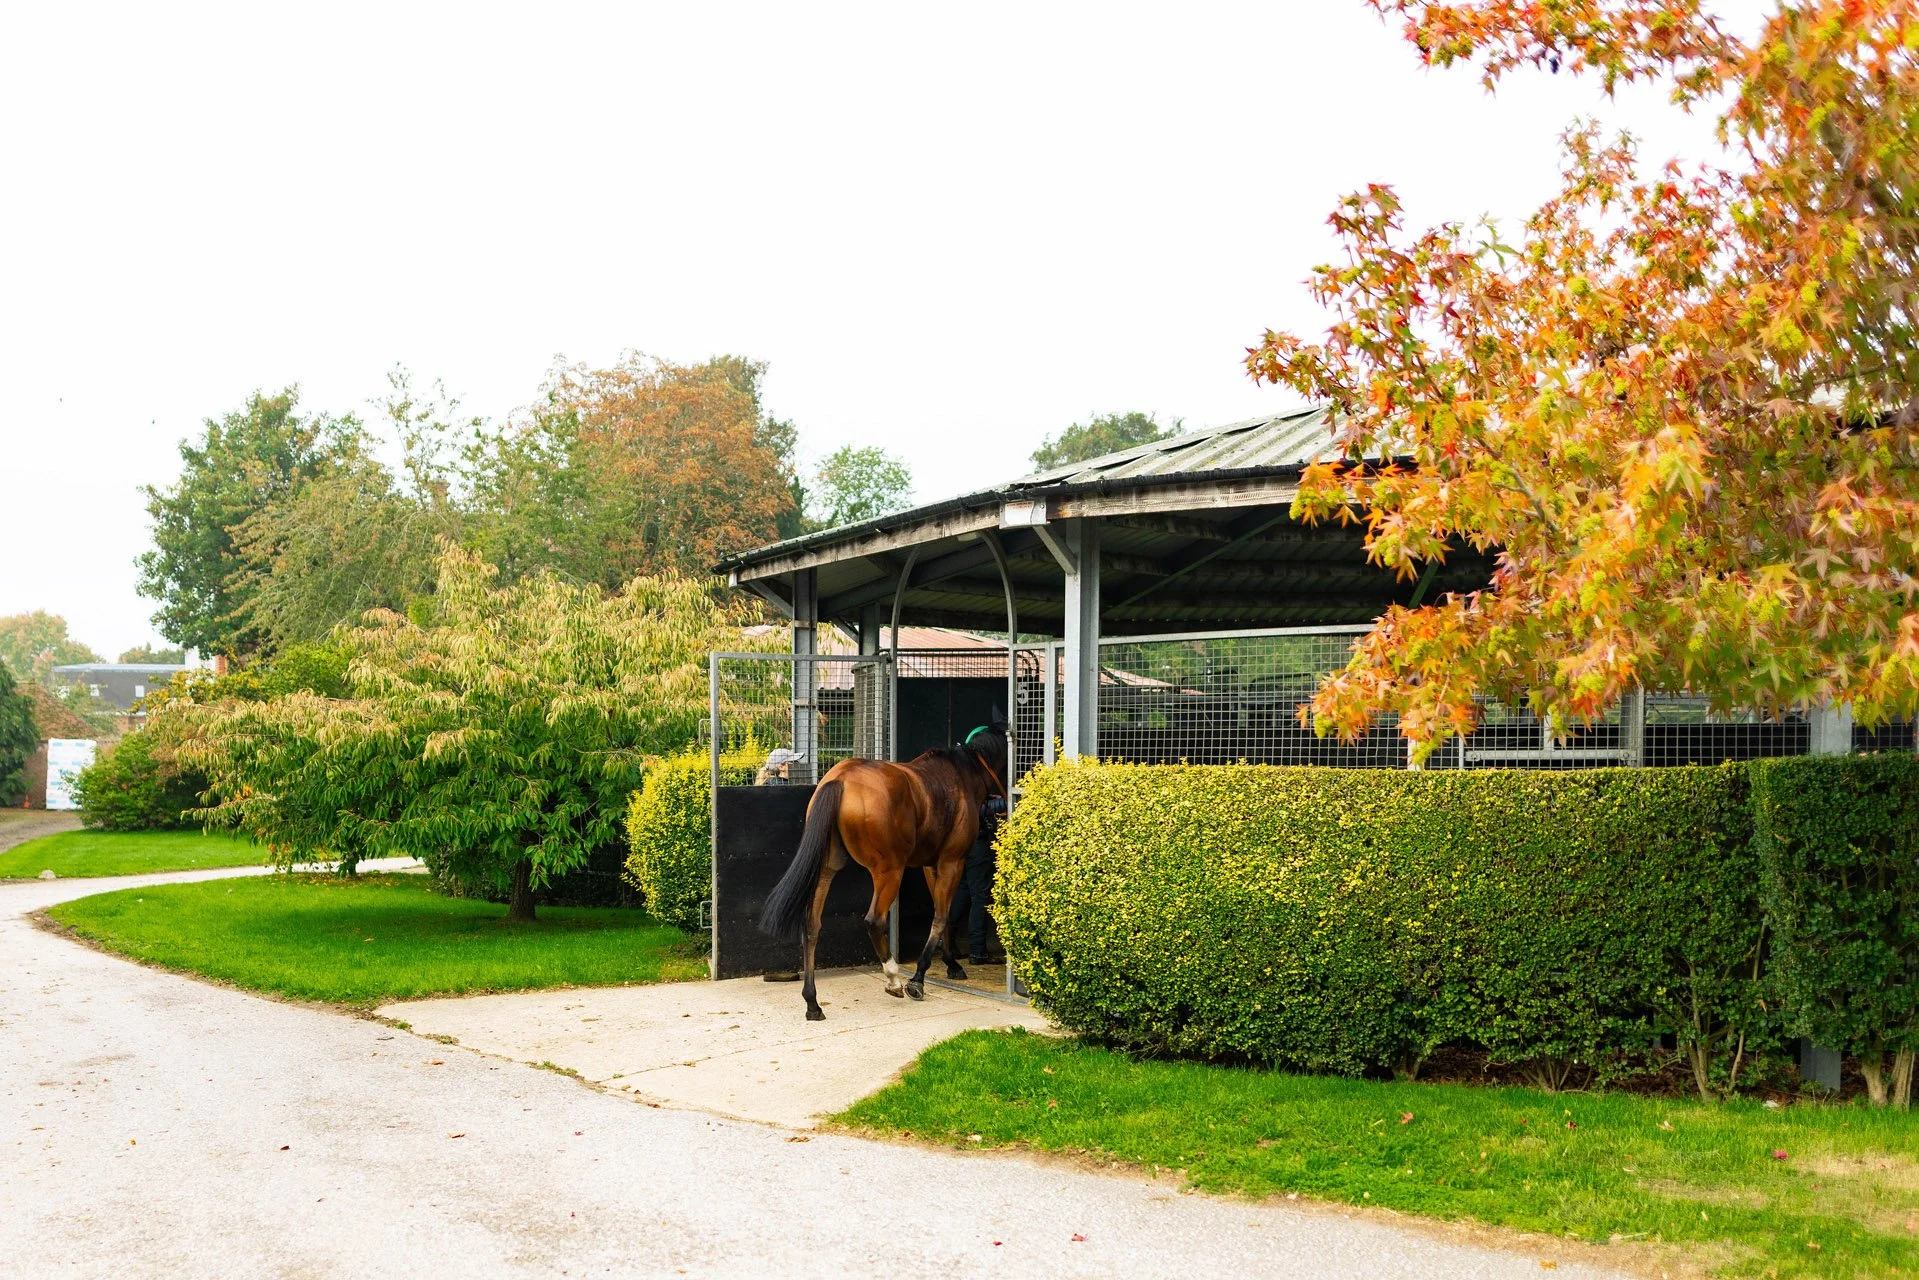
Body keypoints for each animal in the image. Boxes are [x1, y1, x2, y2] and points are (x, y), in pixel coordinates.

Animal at [758, 714, 1010, 1021]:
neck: (961, 776)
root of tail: (840, 779)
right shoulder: (952, 861)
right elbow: (940, 916)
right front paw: (918, 979)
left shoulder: (931, 865)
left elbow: (946, 913)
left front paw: (951, 963)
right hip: (890, 871)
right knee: (874, 921)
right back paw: (893, 978)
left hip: (827, 869)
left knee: (811, 925)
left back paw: (812, 1002)